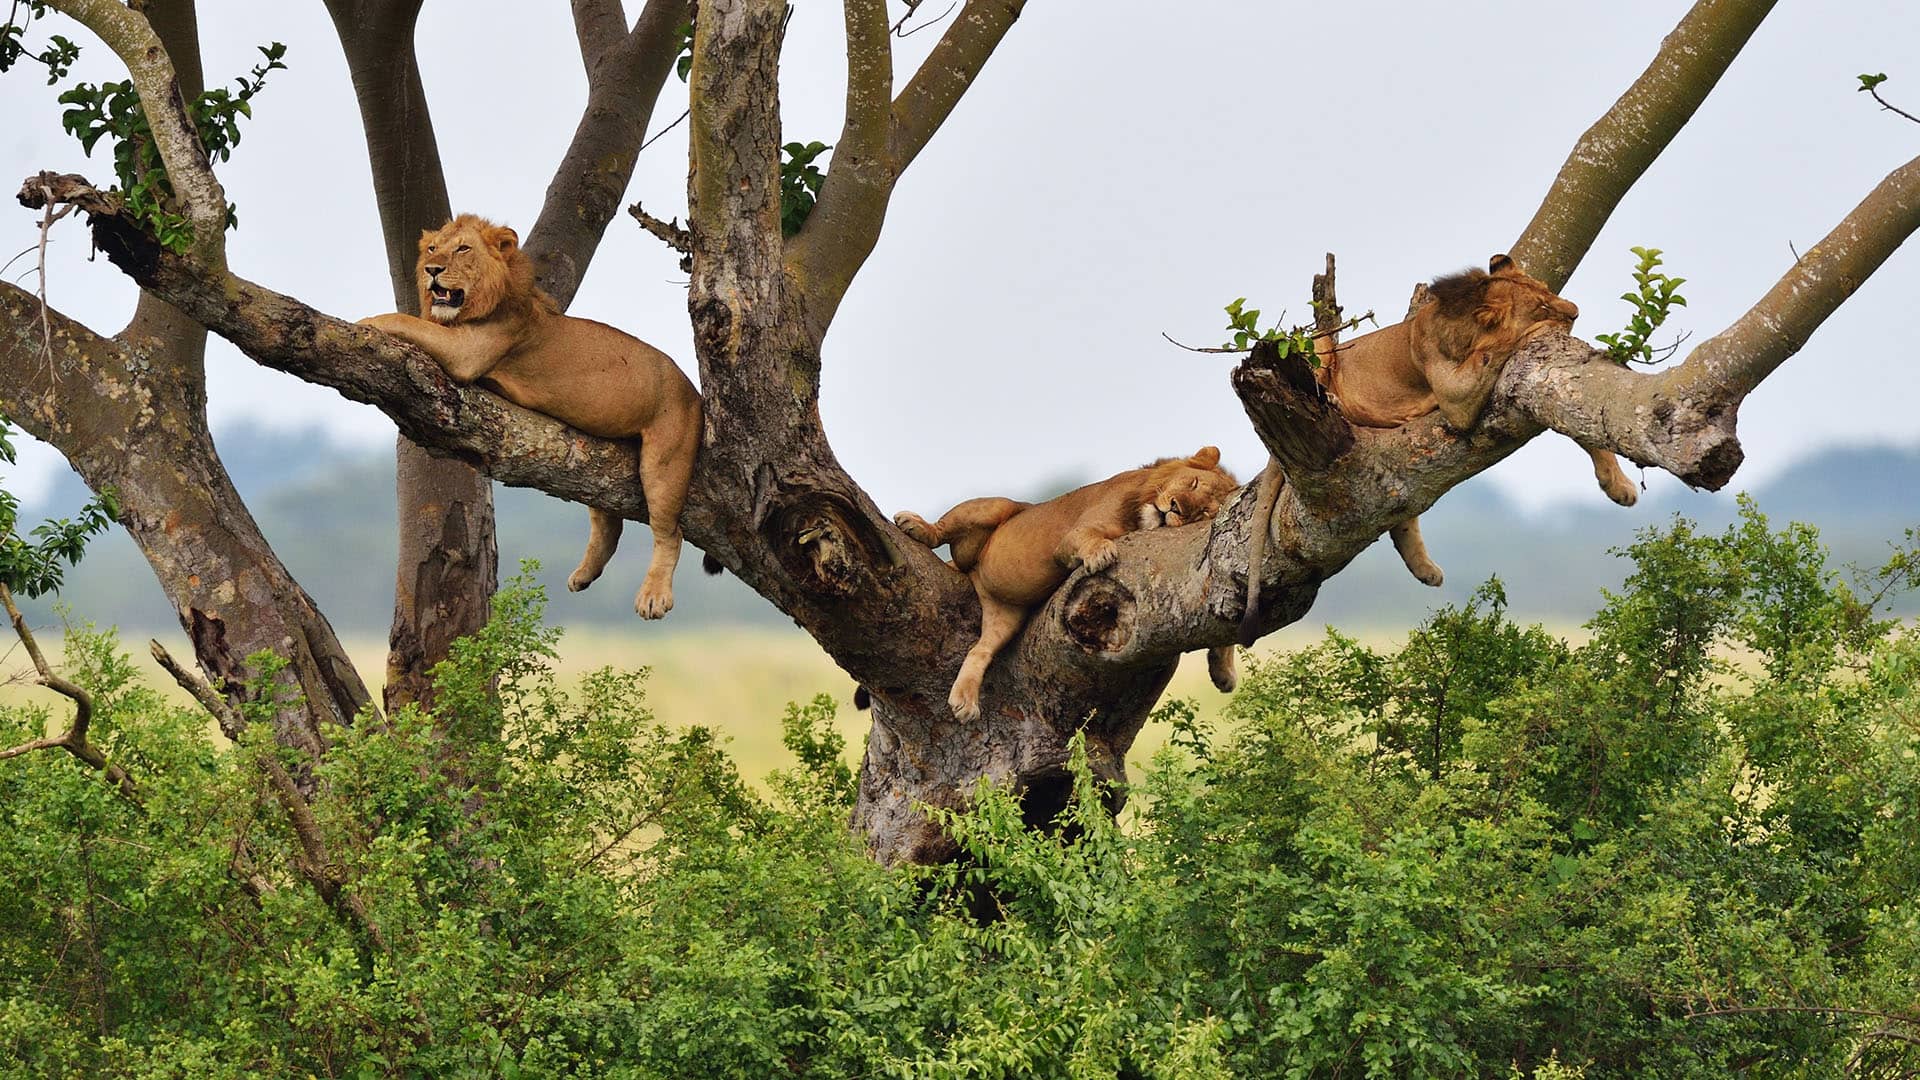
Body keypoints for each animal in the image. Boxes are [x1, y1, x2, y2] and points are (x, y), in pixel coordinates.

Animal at [360, 214, 706, 618]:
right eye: (432, 248)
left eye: (463, 249)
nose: (433, 269)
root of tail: (694, 392)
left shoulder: (467, 351)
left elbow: (408, 321)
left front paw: (367, 320)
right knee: (608, 522)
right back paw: (584, 575)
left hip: (665, 460)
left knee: (669, 531)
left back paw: (653, 596)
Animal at [890, 441, 1236, 718]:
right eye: (1192, 482)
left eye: (1204, 512)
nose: (1175, 508)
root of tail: (973, 575)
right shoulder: (1073, 536)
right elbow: (1089, 538)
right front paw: (1100, 553)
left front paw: (1224, 671)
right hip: (995, 509)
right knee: (946, 527)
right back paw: (916, 526)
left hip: (1006, 615)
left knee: (980, 649)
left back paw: (965, 701)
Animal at [1236, 251, 1628, 638]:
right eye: (1542, 305)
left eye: (1548, 289)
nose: (1575, 311)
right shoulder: (1455, 398)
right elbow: (1496, 349)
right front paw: (1539, 330)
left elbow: (1582, 429)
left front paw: (1619, 486)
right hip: (1316, 352)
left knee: (1399, 515)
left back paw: (1426, 570)